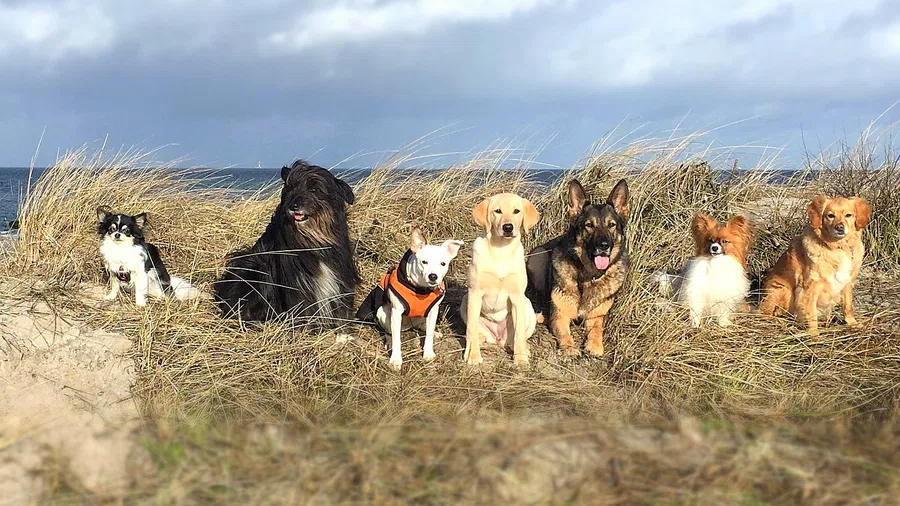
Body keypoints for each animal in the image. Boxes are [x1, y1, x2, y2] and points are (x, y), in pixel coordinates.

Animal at [214, 161, 358, 324]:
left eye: (314, 189)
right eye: (291, 188)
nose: (293, 206)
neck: (312, 239)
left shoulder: (340, 275)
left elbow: (342, 309)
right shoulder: (297, 282)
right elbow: (303, 309)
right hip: (255, 268)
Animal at [460, 193, 536, 364]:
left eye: (516, 211)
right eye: (497, 211)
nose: (508, 227)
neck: (501, 250)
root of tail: (498, 338)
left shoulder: (517, 297)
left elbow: (519, 333)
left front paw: (520, 359)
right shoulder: (475, 293)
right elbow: (471, 330)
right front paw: (473, 356)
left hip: (527, 305)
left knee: (519, 337)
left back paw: (523, 349)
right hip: (465, 301)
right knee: (475, 332)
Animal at [524, 178, 628, 356]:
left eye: (611, 225)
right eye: (589, 225)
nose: (604, 246)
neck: (587, 277)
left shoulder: (596, 317)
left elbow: (597, 330)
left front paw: (595, 346)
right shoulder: (560, 315)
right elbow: (564, 332)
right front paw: (569, 347)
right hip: (538, 255)